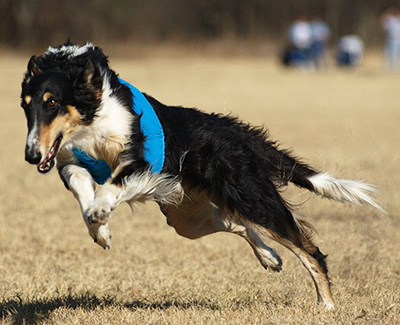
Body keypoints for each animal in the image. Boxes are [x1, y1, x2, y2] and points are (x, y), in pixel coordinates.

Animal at [21, 41, 384, 308]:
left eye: (52, 102)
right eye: (26, 105)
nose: (31, 155)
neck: (92, 117)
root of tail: (239, 135)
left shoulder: (143, 163)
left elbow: (111, 185)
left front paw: (101, 211)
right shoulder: (70, 161)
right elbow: (84, 195)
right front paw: (99, 229)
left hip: (250, 199)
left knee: (309, 249)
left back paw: (327, 305)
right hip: (188, 218)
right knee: (239, 224)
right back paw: (270, 258)